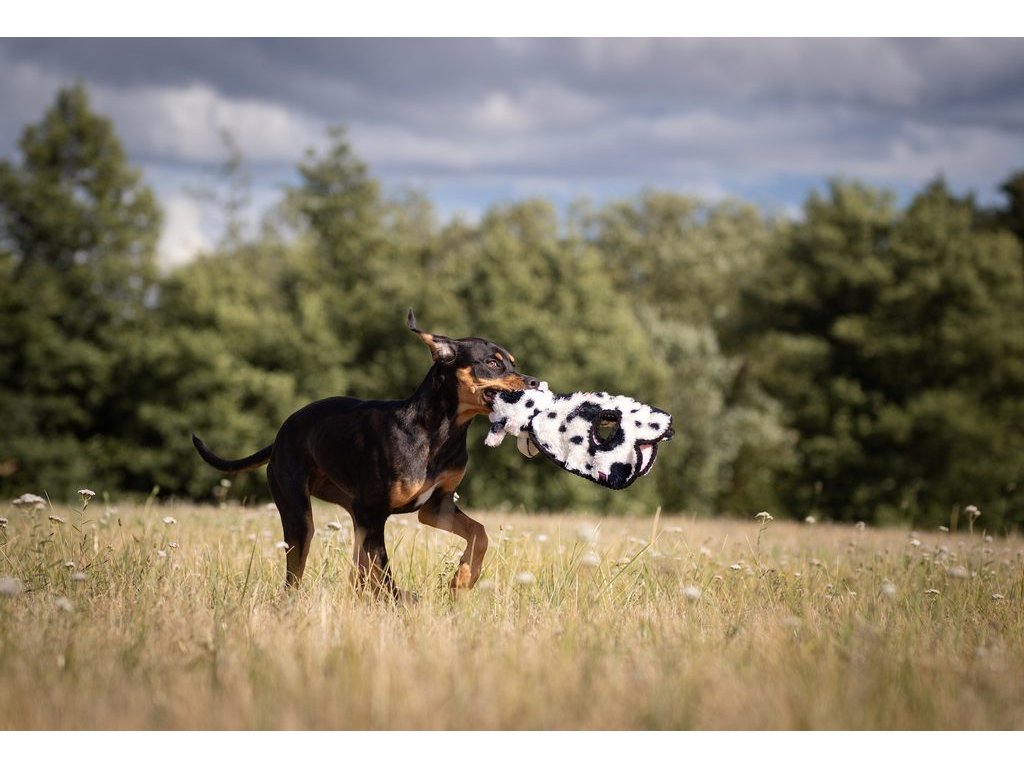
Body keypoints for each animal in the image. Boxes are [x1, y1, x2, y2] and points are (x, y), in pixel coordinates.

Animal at [192, 310, 539, 598]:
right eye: (492, 363)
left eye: (512, 362)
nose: (535, 382)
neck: (438, 432)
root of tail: (280, 437)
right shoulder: (375, 514)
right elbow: (385, 574)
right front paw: (406, 602)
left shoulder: (435, 507)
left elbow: (479, 533)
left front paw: (463, 578)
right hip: (301, 516)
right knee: (297, 574)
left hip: (353, 511)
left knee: (357, 571)